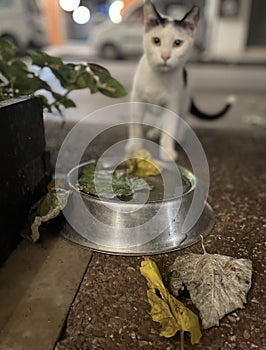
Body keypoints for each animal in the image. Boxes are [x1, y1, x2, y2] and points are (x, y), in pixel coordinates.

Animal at [125, 0, 234, 161]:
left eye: (177, 43)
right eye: (156, 41)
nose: (165, 56)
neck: (159, 77)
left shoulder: (173, 103)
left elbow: (170, 127)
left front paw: (167, 150)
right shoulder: (137, 98)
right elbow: (135, 125)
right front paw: (135, 145)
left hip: (183, 101)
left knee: (178, 122)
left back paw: (178, 135)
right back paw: (155, 132)